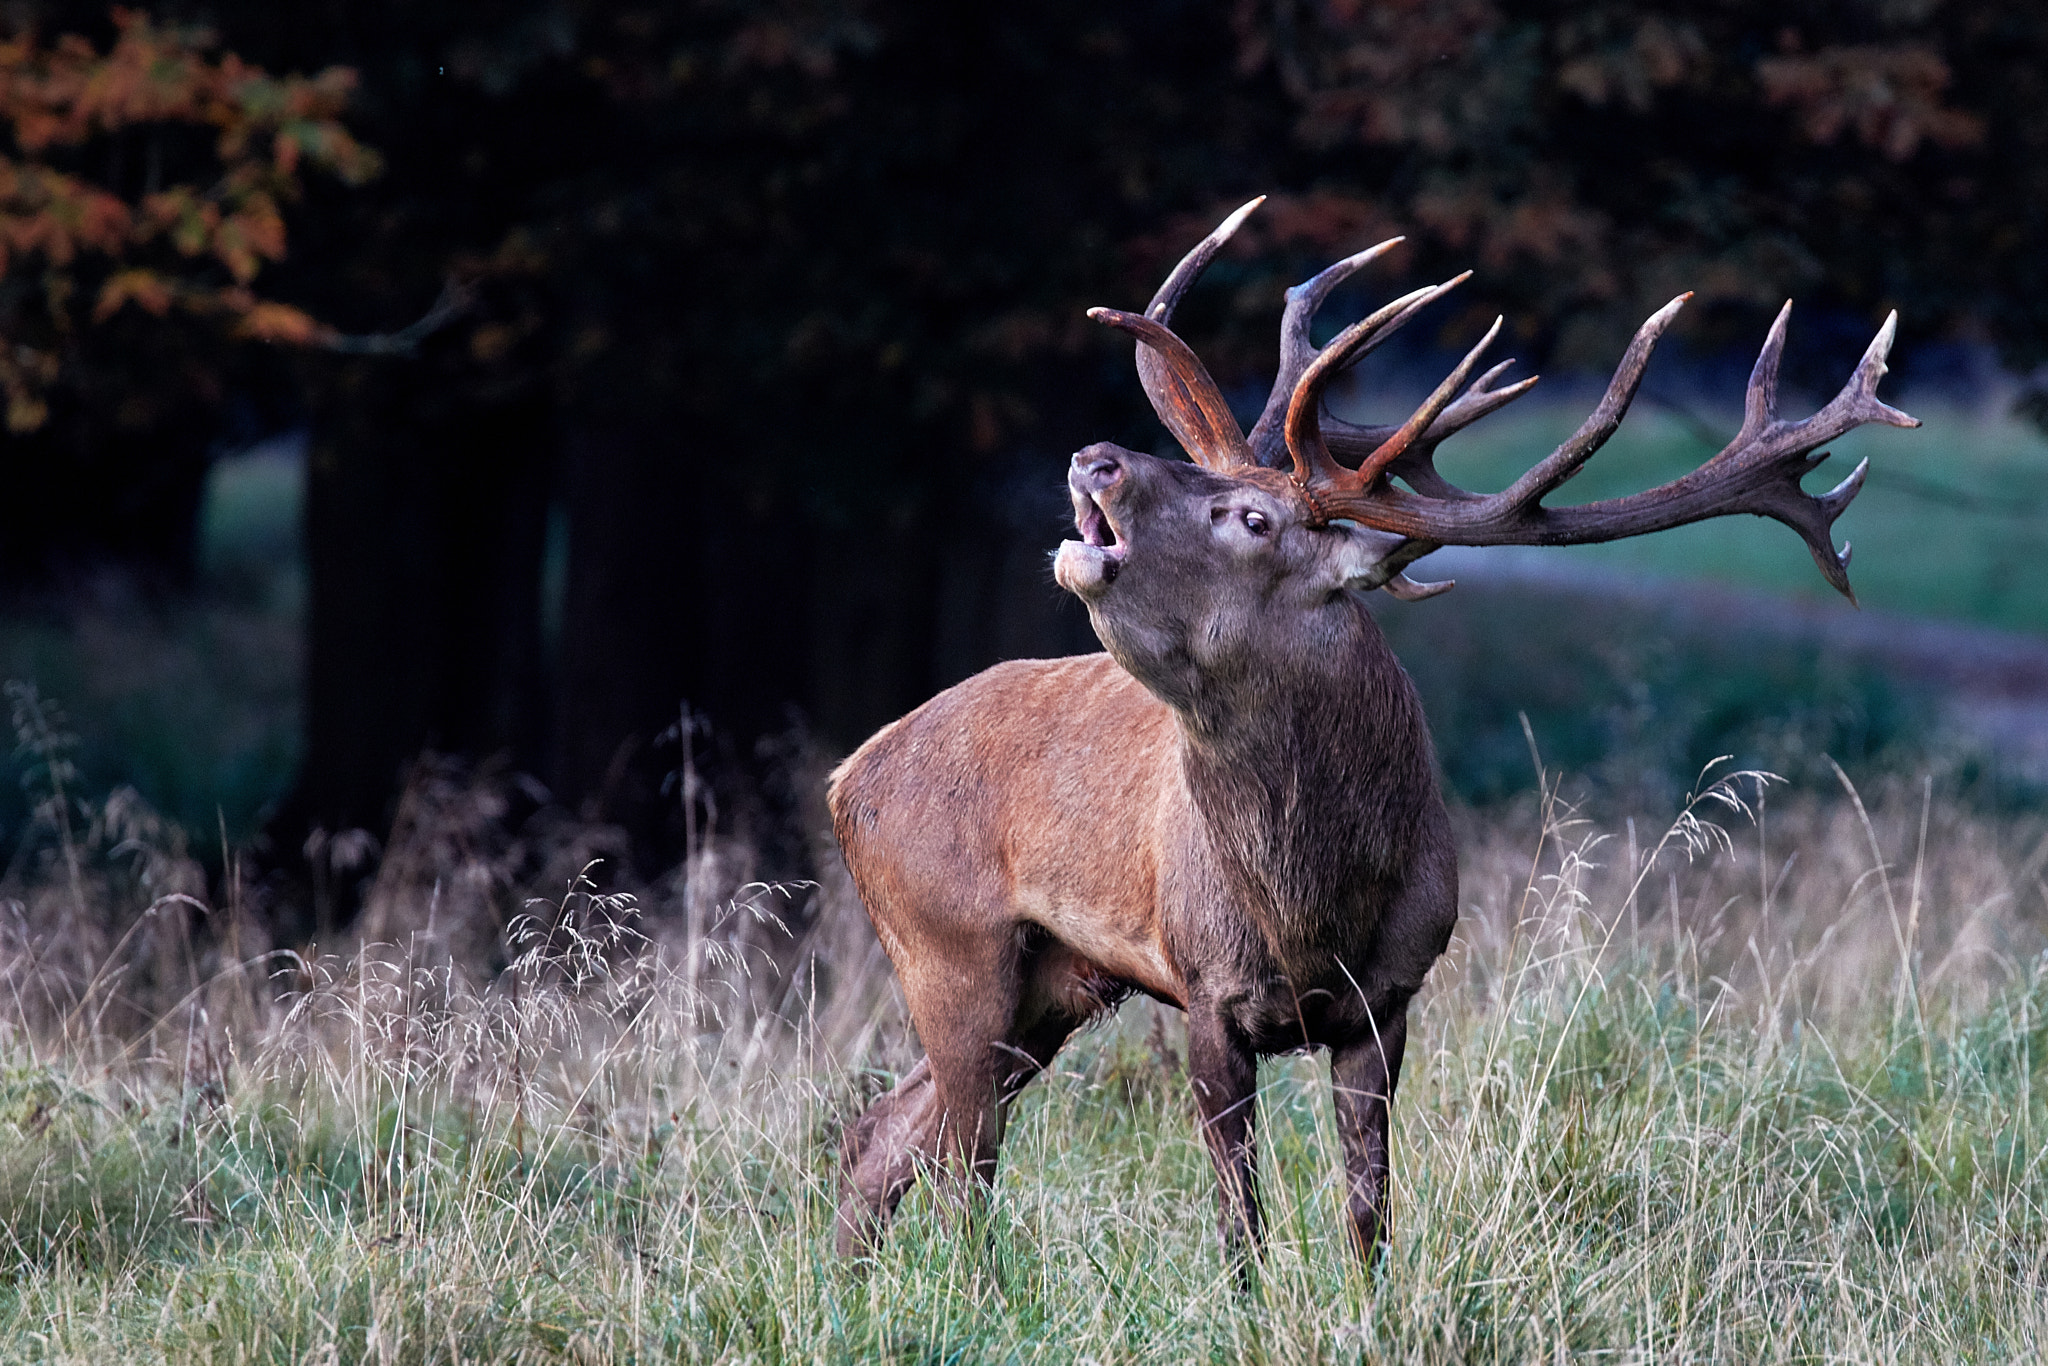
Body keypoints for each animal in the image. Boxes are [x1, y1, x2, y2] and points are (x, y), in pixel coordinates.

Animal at [828, 196, 1917, 1266]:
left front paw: (1365, 1301)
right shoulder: (1205, 984)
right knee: (956, 1159)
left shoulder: (1389, 995)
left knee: (890, 1136)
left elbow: (1366, 1212)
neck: (1315, 905)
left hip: (1051, 978)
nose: (1094, 456)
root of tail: (847, 777)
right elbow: (1241, 1225)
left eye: (1254, 519)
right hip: (948, 938)